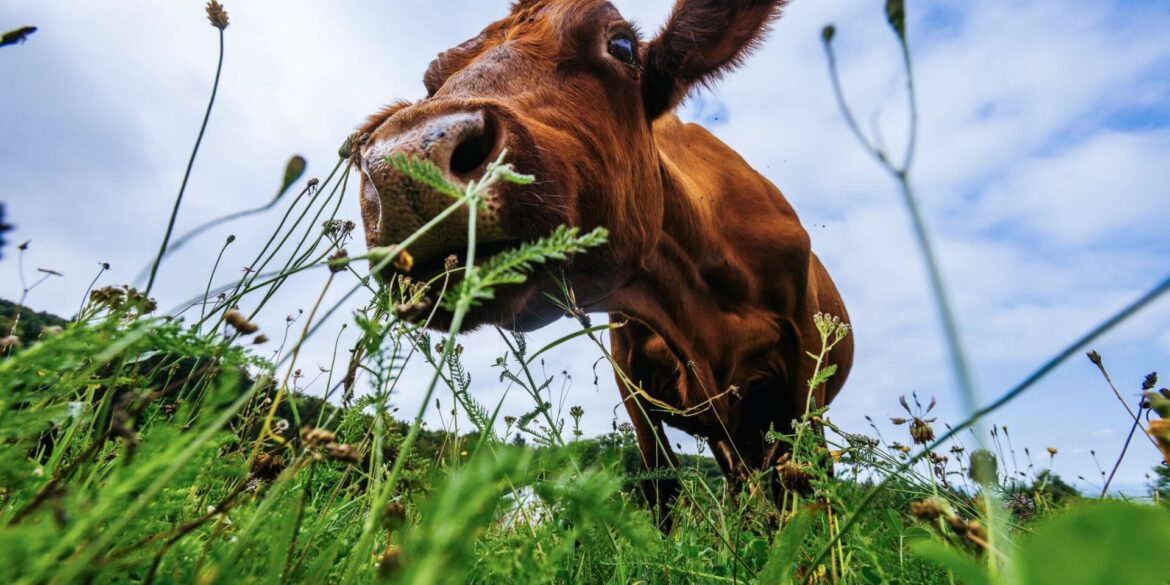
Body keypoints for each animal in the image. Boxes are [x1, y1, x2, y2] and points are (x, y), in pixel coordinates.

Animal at [354, 0, 853, 525]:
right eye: (433, 82)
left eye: (622, 46)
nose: (407, 161)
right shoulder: (632, 389)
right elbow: (662, 490)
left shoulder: (804, 361)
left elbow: (809, 483)